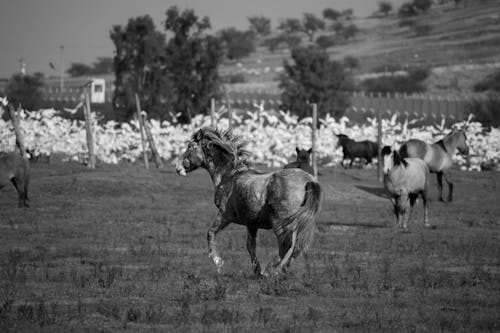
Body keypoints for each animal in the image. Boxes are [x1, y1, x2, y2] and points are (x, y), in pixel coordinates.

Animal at [174, 127, 320, 274]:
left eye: (190, 146)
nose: (178, 168)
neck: (229, 176)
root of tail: (308, 180)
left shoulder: (225, 215)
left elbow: (210, 233)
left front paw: (218, 262)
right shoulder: (251, 223)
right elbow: (250, 246)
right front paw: (256, 270)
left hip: (281, 223)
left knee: (286, 245)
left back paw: (270, 271)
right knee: (295, 248)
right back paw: (279, 270)